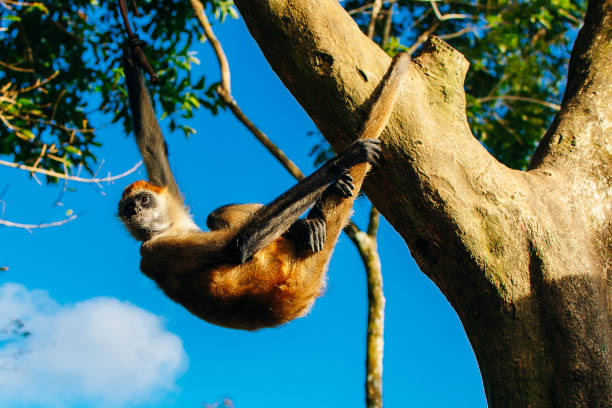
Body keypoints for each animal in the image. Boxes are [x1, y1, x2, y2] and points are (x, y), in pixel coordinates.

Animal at [117, 39, 408, 330]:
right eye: (130, 210)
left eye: (144, 200)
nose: (138, 212)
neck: (168, 228)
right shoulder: (154, 250)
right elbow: (237, 246)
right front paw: (342, 161)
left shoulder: (170, 205)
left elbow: (152, 145)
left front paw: (131, 56)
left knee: (216, 216)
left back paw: (305, 225)